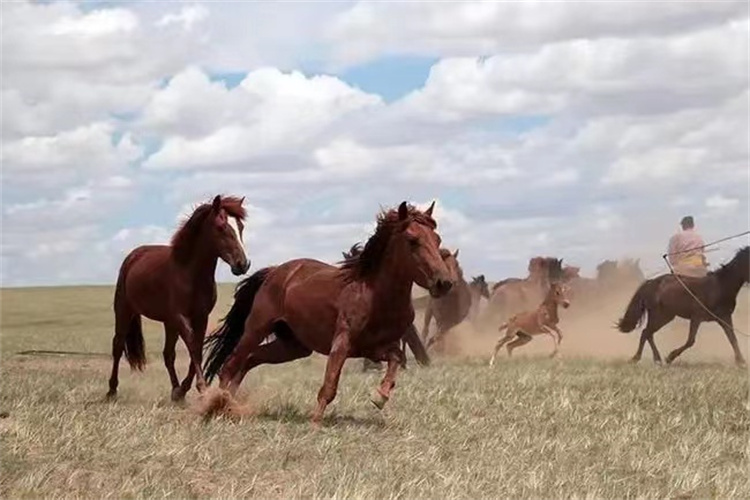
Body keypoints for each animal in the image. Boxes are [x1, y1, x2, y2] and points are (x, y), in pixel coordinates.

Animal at [107, 193, 251, 400]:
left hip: (168, 323)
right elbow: (193, 347)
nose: (243, 264)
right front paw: (201, 388)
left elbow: (197, 348)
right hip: (124, 310)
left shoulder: (200, 317)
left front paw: (184, 389)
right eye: (221, 227)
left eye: (241, 227)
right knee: (118, 346)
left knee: (168, 354)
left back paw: (175, 391)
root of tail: (133, 256)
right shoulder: (180, 317)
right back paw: (111, 390)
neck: (190, 273)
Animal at [200, 201, 456, 424]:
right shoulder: (342, 343)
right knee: (230, 365)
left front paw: (379, 398)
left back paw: (230, 405)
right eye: (413, 240)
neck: (376, 295)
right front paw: (315, 424)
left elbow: (397, 359)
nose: (444, 282)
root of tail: (275, 271)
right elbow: (329, 385)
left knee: (250, 360)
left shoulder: (374, 348)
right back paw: (216, 407)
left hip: (293, 346)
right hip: (256, 329)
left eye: (437, 239)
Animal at [620, 246, 748, 368]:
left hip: (666, 317)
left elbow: (733, 338)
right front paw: (670, 357)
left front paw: (741, 361)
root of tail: (651, 283)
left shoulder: (724, 317)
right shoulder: (696, 317)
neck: (719, 287)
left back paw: (656, 359)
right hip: (659, 316)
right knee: (646, 333)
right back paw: (638, 358)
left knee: (648, 333)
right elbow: (691, 341)